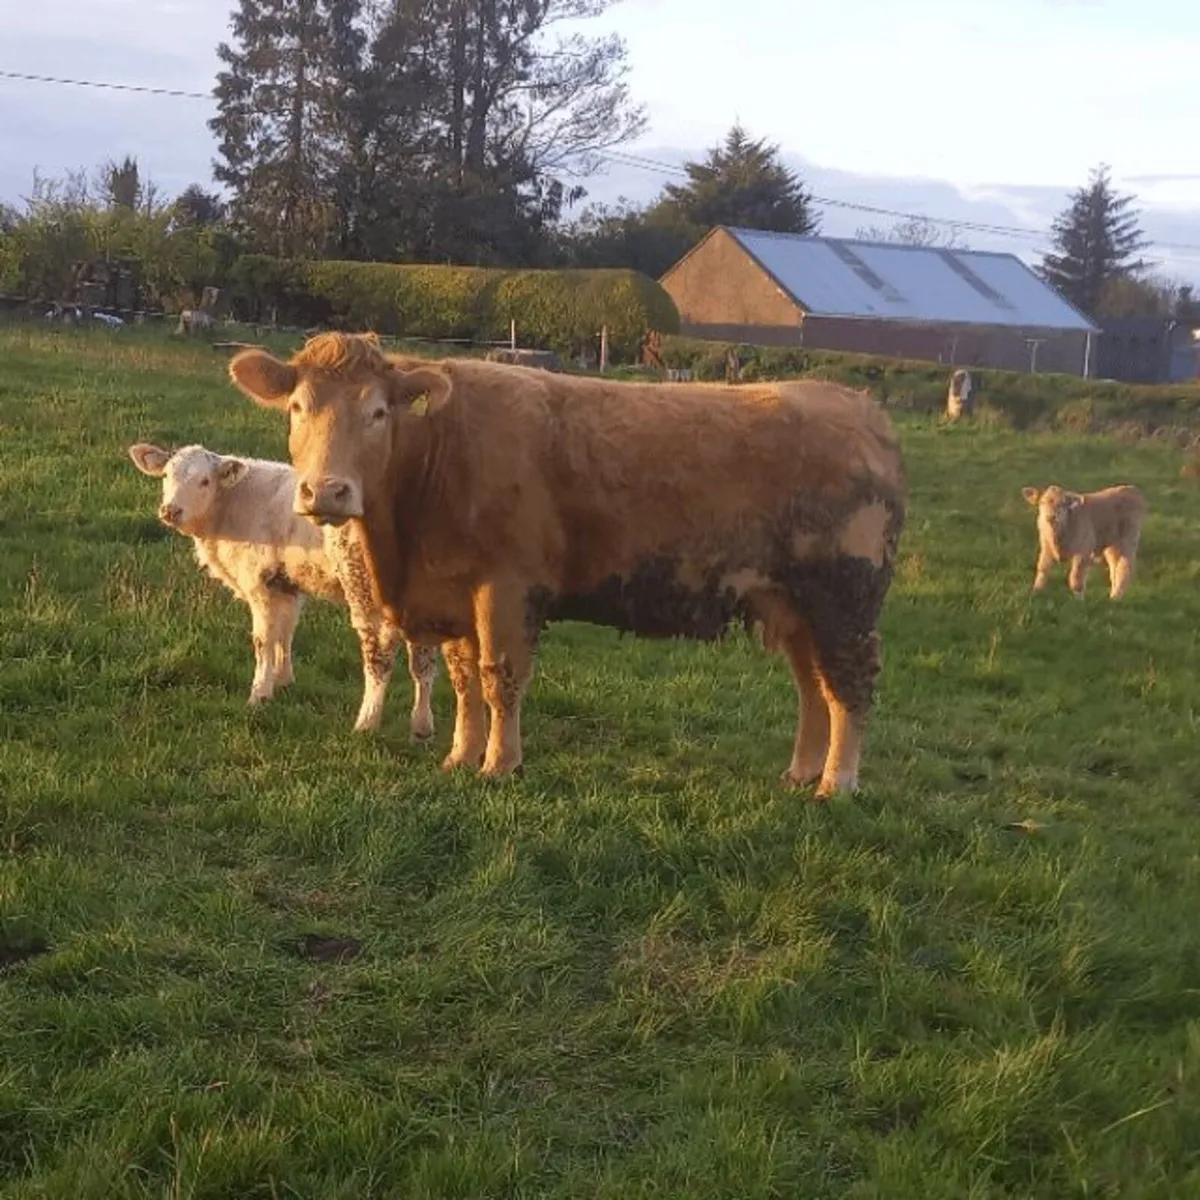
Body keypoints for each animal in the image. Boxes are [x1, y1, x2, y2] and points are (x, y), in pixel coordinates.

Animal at [127, 441, 439, 737]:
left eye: (204, 481)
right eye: (166, 475)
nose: (170, 510)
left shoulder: (259, 582)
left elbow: (263, 640)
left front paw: (259, 694)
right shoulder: (286, 583)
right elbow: (285, 632)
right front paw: (283, 680)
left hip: (365, 589)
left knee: (380, 657)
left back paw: (367, 723)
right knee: (423, 661)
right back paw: (422, 726)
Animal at [227, 332, 907, 798]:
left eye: (377, 412)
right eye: (297, 408)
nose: (326, 491)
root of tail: (859, 407)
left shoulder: (506, 587)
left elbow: (500, 678)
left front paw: (499, 764)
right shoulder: (456, 591)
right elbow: (465, 680)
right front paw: (460, 755)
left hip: (843, 602)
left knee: (849, 687)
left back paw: (836, 783)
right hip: (794, 607)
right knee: (814, 687)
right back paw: (800, 773)